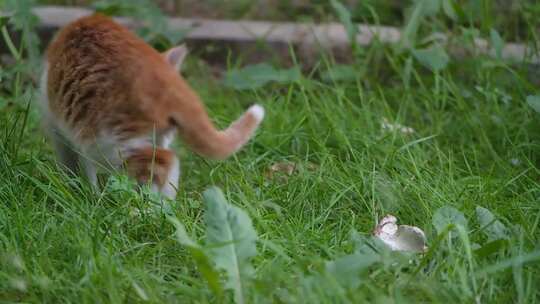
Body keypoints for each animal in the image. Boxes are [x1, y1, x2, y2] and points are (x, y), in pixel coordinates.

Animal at [39, 14, 264, 200]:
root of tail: (168, 81)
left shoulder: (62, 128)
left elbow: (75, 164)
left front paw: (80, 190)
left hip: (111, 141)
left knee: (164, 163)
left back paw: (146, 211)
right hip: (150, 137)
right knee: (169, 164)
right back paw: (164, 206)